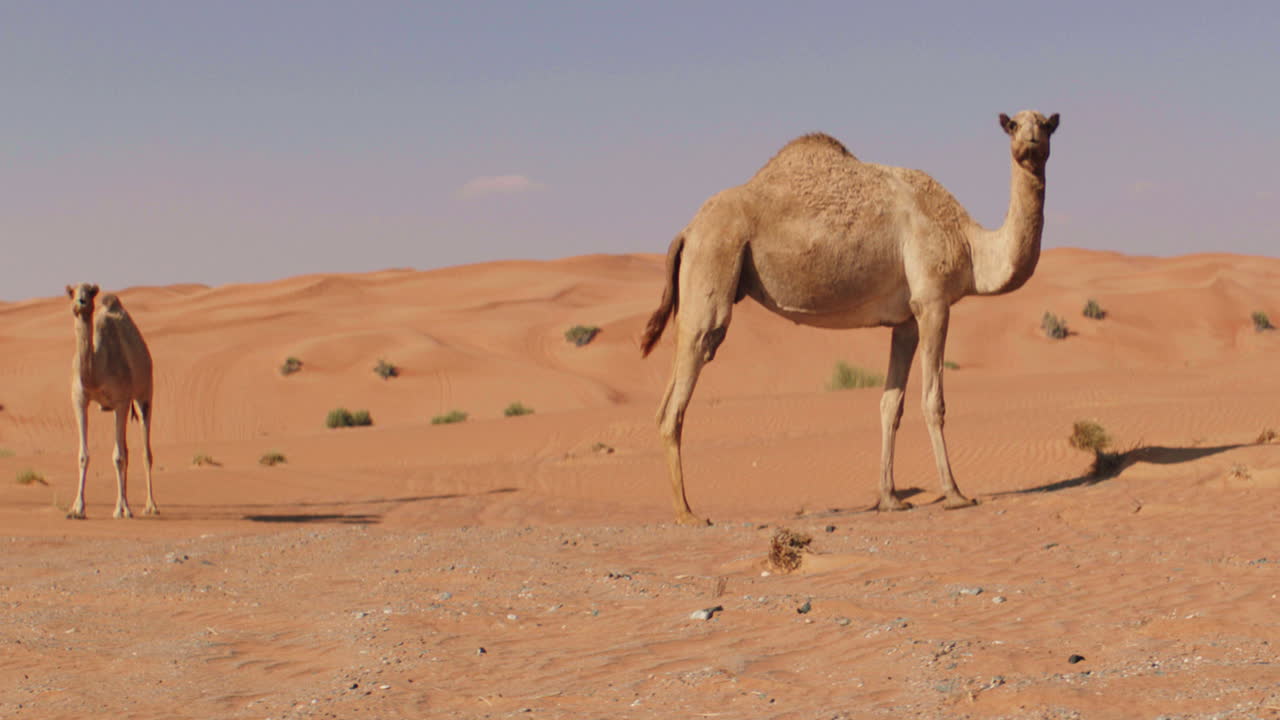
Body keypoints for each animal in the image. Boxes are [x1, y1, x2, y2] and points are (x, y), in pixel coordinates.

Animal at [65, 283, 157, 519]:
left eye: (90, 292)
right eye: (71, 292)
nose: (80, 302)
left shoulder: (121, 401)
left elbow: (118, 457)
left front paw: (120, 509)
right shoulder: (79, 400)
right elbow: (83, 455)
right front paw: (77, 508)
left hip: (144, 394)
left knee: (145, 452)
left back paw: (149, 506)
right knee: (126, 450)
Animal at [641, 110, 1059, 525]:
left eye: (1045, 125)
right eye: (1013, 125)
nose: (1030, 143)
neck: (970, 245)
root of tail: (687, 230)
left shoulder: (906, 319)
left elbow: (890, 406)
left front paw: (890, 498)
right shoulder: (934, 300)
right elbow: (933, 401)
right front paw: (955, 494)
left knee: (669, 393)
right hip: (713, 259)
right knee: (684, 383)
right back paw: (687, 513)